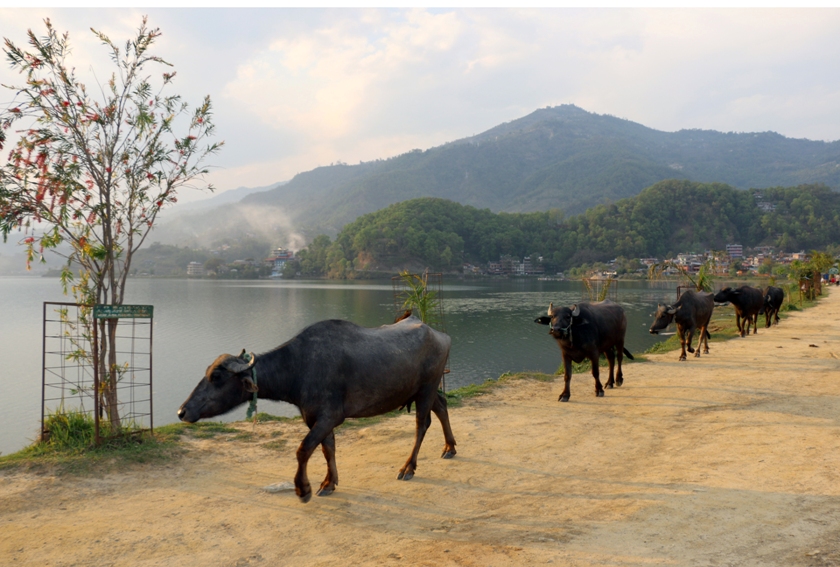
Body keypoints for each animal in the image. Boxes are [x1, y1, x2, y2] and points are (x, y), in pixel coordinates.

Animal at [174, 316, 456, 506]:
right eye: (207, 372)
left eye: (217, 377)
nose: (181, 411)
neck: (297, 367)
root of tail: (440, 335)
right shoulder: (316, 419)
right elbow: (327, 448)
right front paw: (329, 483)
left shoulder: (329, 417)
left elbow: (304, 449)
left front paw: (304, 489)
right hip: (424, 390)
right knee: (442, 406)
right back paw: (450, 447)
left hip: (426, 389)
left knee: (422, 424)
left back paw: (408, 467)